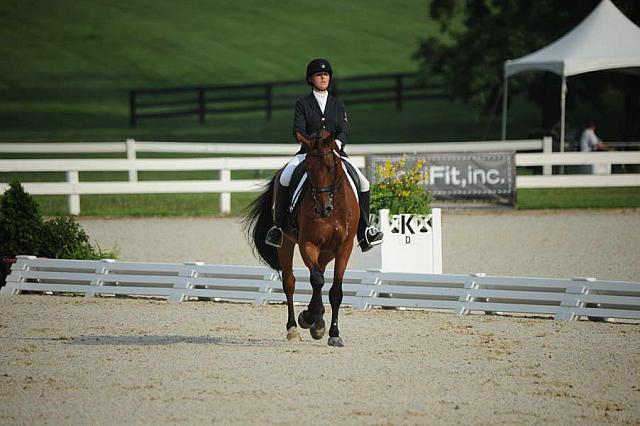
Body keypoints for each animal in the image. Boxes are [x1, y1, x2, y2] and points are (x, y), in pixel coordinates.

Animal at [242, 129, 360, 346]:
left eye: (331, 167)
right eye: (309, 169)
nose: (323, 208)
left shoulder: (344, 247)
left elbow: (335, 290)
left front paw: (333, 333)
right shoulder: (308, 244)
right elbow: (317, 280)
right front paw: (310, 318)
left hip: (327, 251)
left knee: (319, 273)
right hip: (286, 244)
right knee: (290, 282)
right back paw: (294, 328)